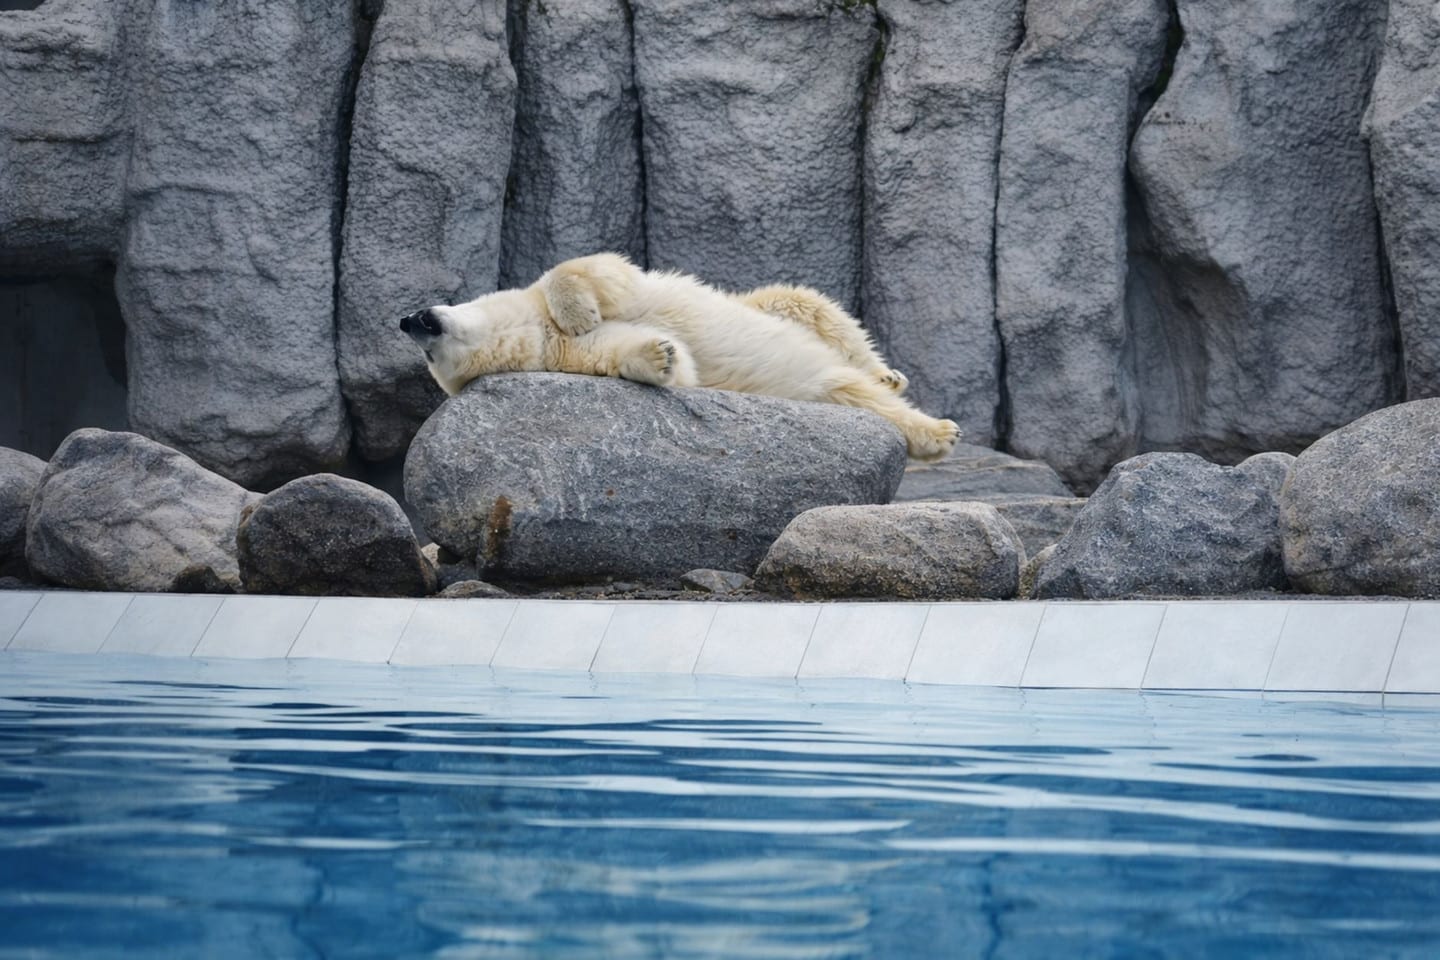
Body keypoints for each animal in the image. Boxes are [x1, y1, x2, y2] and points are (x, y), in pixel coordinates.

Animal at [399, 253, 960, 460]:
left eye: (423, 327)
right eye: (432, 360)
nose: (407, 320)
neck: (536, 331)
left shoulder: (567, 296)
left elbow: (592, 270)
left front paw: (579, 311)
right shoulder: (573, 356)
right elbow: (656, 361)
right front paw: (661, 355)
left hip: (772, 307)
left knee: (806, 303)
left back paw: (891, 378)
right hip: (816, 388)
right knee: (849, 392)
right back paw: (933, 432)